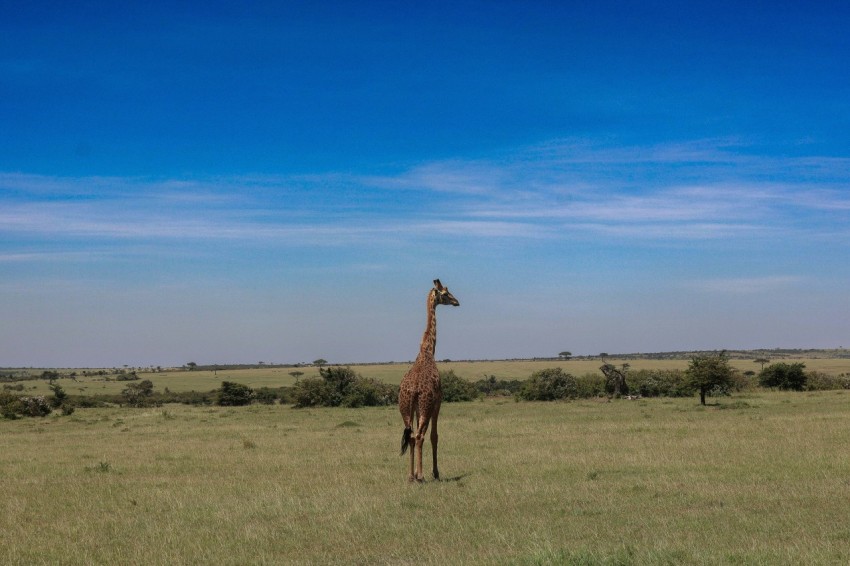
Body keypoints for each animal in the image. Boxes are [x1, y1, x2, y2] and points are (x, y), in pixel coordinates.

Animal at [398, 279, 459, 482]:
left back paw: (411, 476)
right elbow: (434, 436)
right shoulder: (438, 401)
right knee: (419, 436)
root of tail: (413, 391)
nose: (457, 302)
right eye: (446, 293)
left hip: (405, 409)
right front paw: (435, 472)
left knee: (411, 435)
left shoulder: (417, 408)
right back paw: (421, 476)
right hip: (425, 406)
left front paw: (417, 473)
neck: (427, 350)